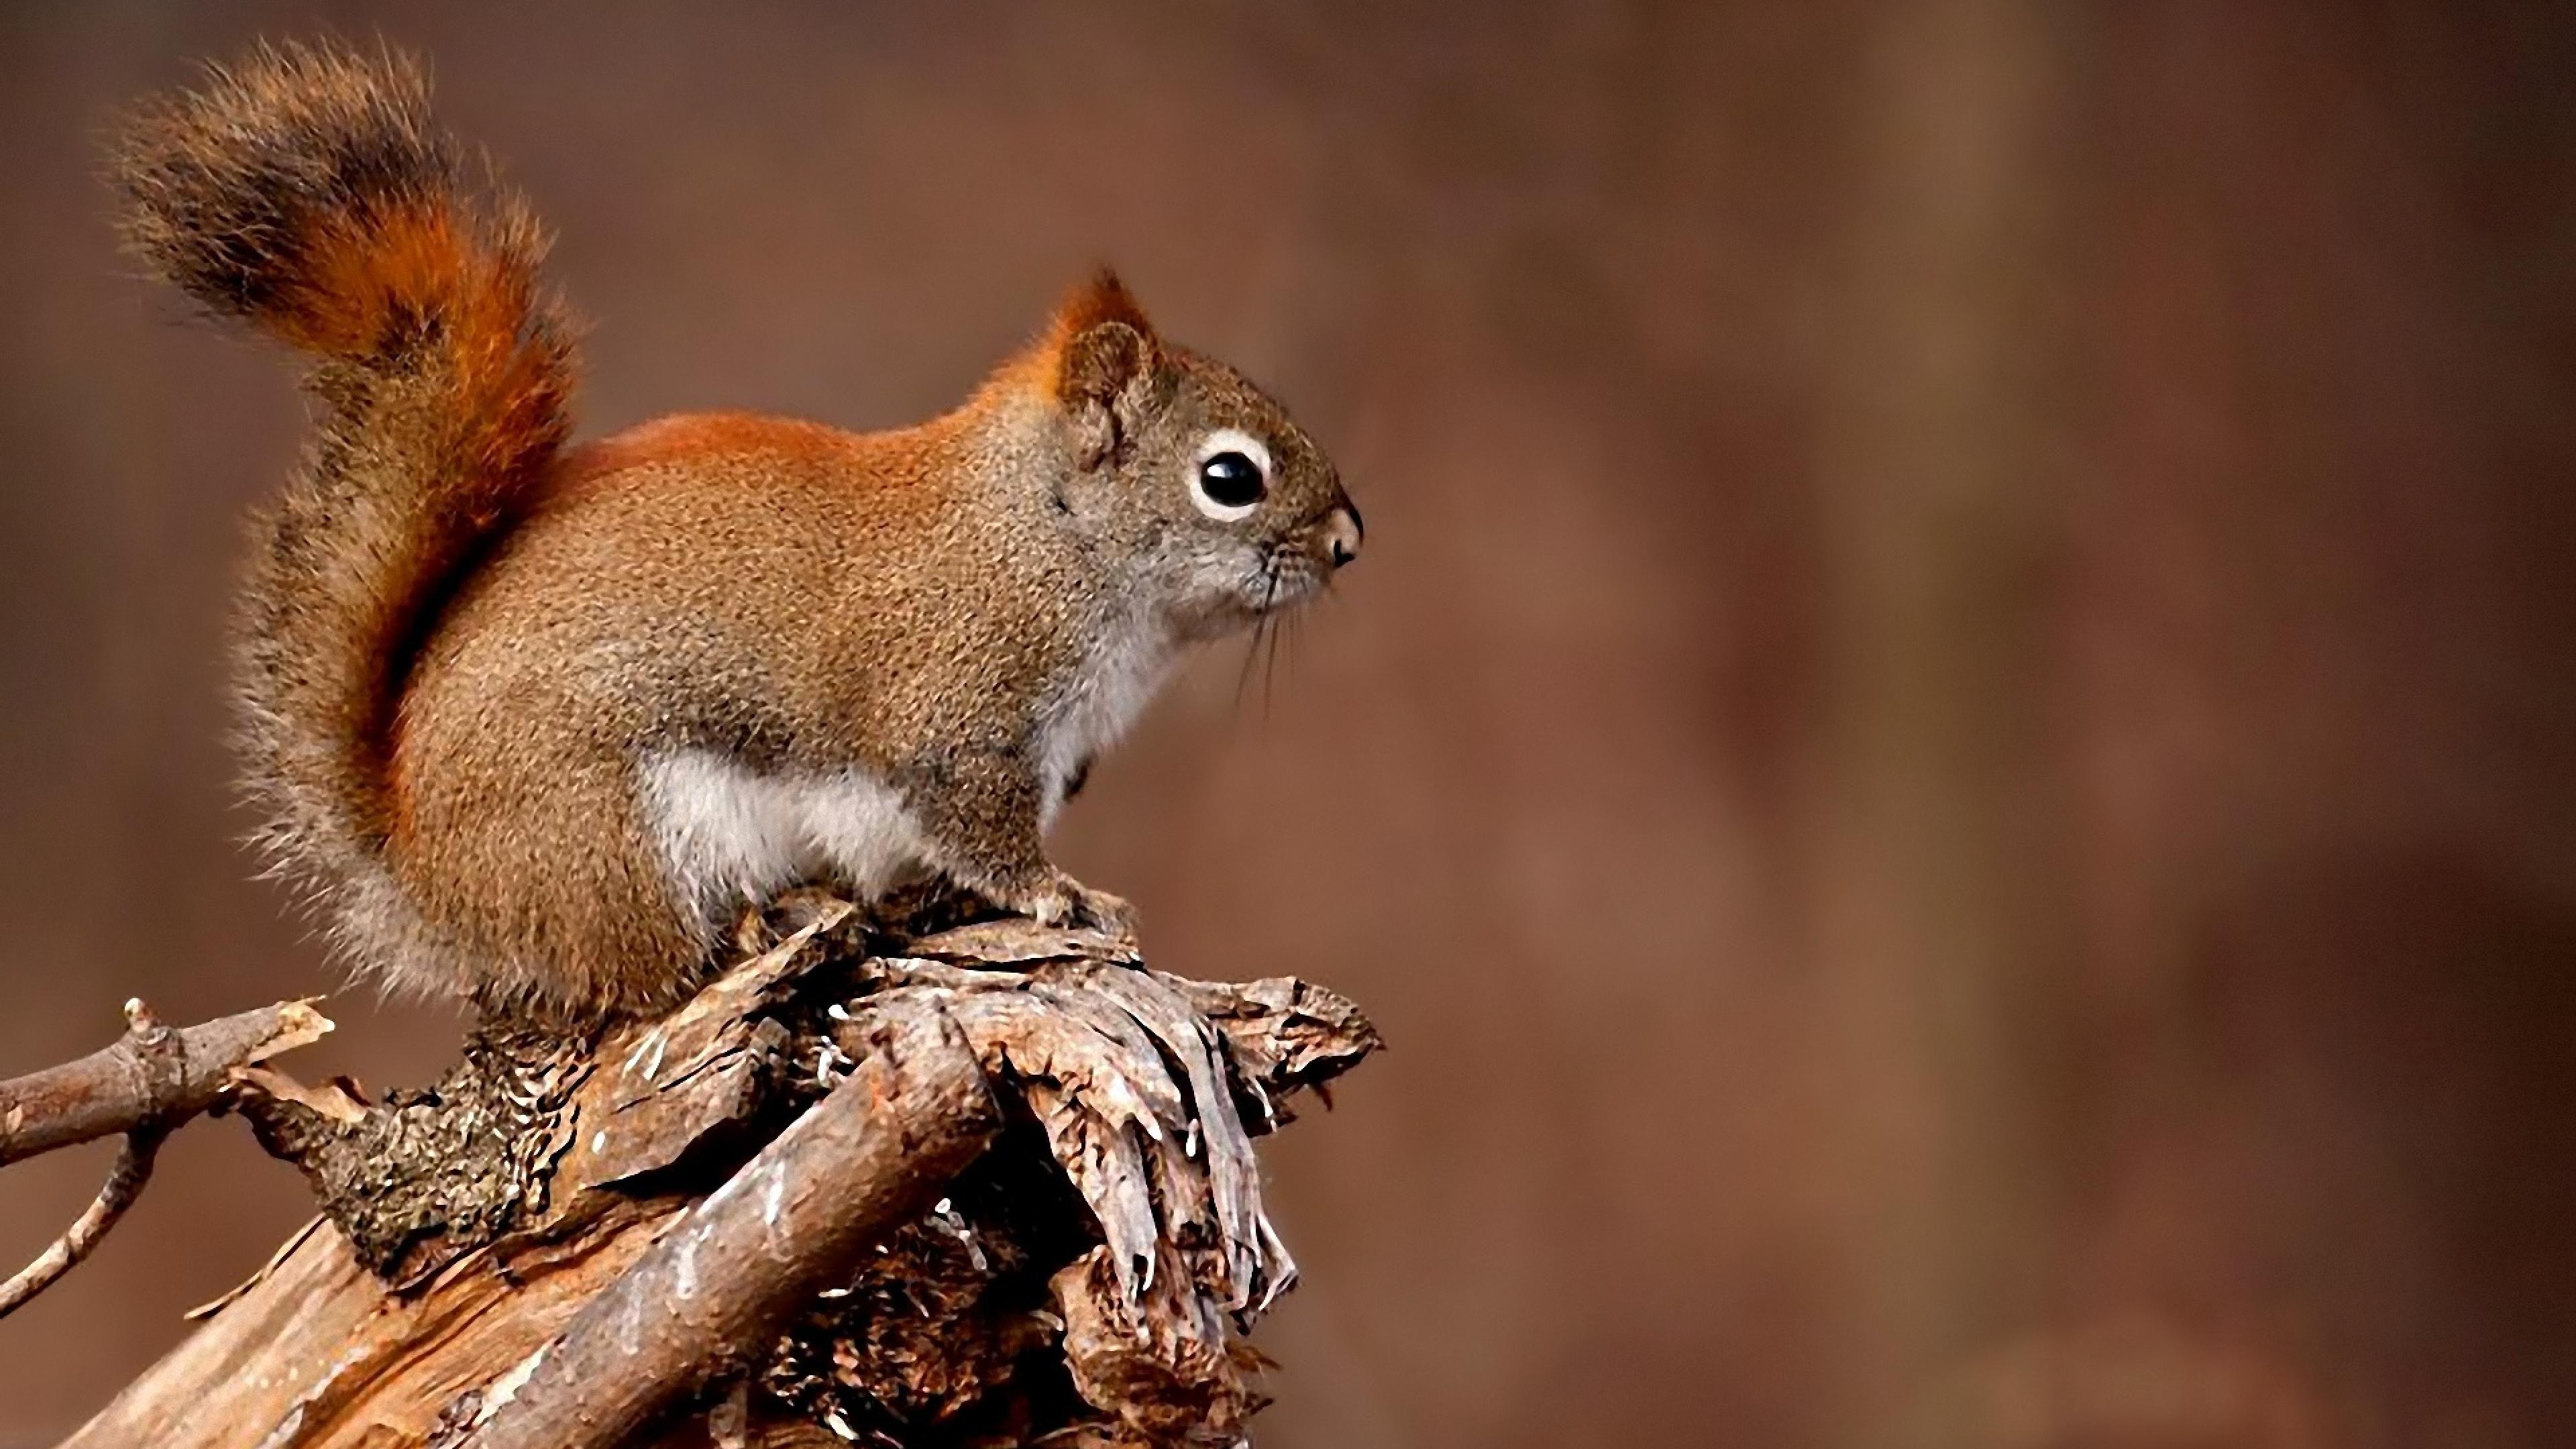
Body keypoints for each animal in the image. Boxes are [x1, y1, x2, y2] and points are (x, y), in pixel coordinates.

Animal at [109, 42, 1361, 1025]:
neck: (1046, 537)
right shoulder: (955, 713)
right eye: (1229, 479)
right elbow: (980, 827)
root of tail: (427, 873)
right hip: (624, 835)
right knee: (652, 969)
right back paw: (761, 923)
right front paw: (1065, 896)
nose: (1350, 541)